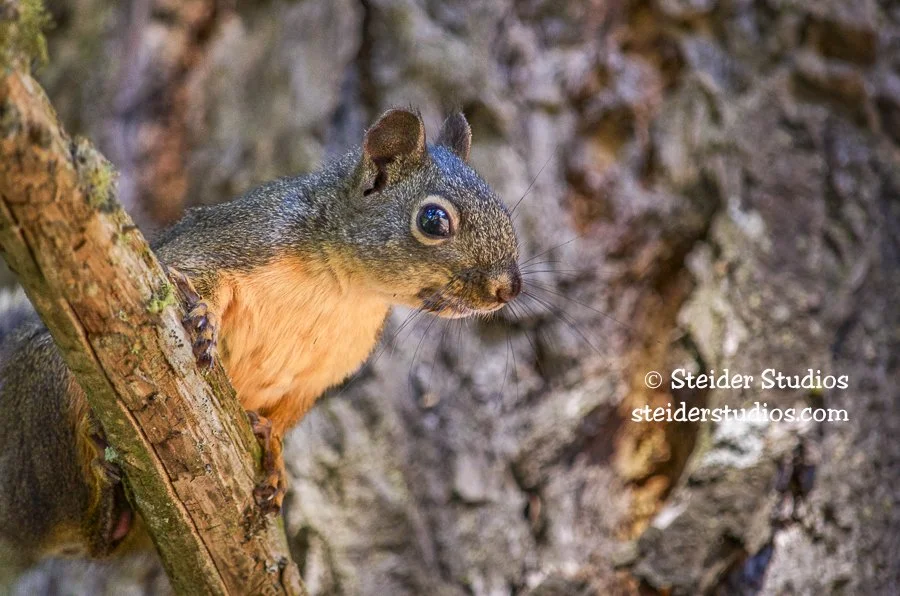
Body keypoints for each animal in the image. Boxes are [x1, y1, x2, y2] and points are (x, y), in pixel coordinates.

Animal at [0, 108, 521, 572]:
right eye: (434, 220)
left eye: (502, 208)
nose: (508, 288)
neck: (346, 290)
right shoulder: (242, 239)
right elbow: (187, 272)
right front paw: (203, 321)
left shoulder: (316, 376)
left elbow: (286, 416)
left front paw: (274, 456)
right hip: (51, 385)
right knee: (84, 529)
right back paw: (100, 471)